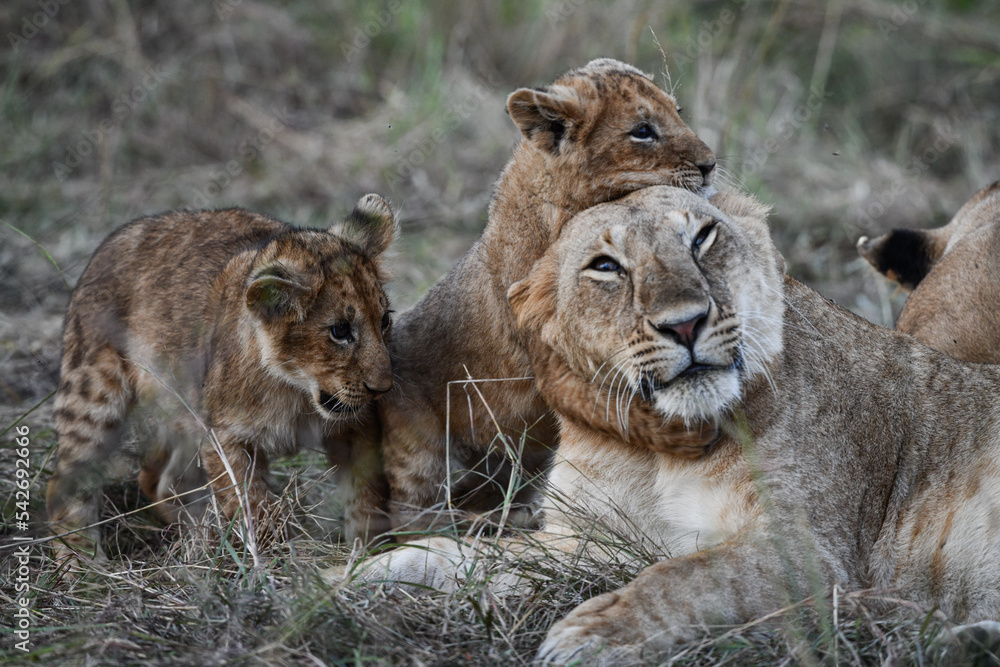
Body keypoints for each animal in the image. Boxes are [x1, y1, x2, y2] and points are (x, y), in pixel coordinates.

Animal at [47, 195, 397, 562]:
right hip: (94, 393)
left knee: (156, 477)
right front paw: (274, 565)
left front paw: (370, 553)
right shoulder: (225, 438)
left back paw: (198, 537)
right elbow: (254, 507)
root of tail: (111, 241)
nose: (382, 388)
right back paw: (83, 563)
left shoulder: (356, 428)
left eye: (384, 320)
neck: (295, 391)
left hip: (182, 407)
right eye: (340, 331)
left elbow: (367, 495)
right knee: (63, 483)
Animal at [375, 58, 719, 535]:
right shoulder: (554, 358)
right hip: (420, 452)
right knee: (410, 514)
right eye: (642, 130)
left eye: (679, 111)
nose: (711, 165)